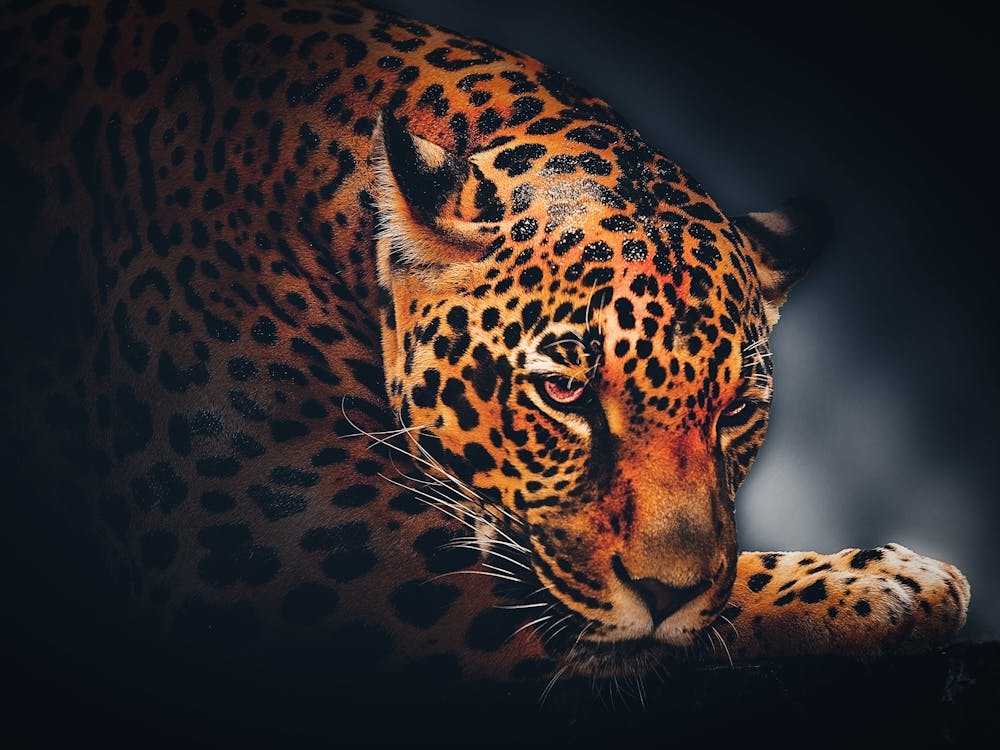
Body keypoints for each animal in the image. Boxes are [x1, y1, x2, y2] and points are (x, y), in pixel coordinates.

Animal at [0, 0, 969, 690]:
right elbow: (684, 612)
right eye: (565, 392)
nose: (666, 592)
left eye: (735, 411)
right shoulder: (323, 572)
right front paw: (889, 585)